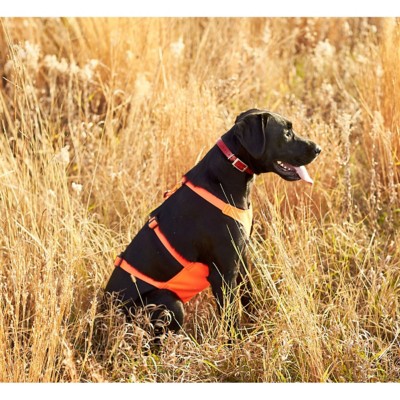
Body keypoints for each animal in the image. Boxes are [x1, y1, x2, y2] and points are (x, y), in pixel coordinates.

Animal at [104, 108, 322, 336]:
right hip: (169, 301)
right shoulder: (222, 273)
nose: (318, 149)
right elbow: (231, 316)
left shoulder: (241, 256)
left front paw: (257, 327)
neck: (230, 173)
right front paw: (236, 341)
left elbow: (249, 295)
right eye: (287, 133)